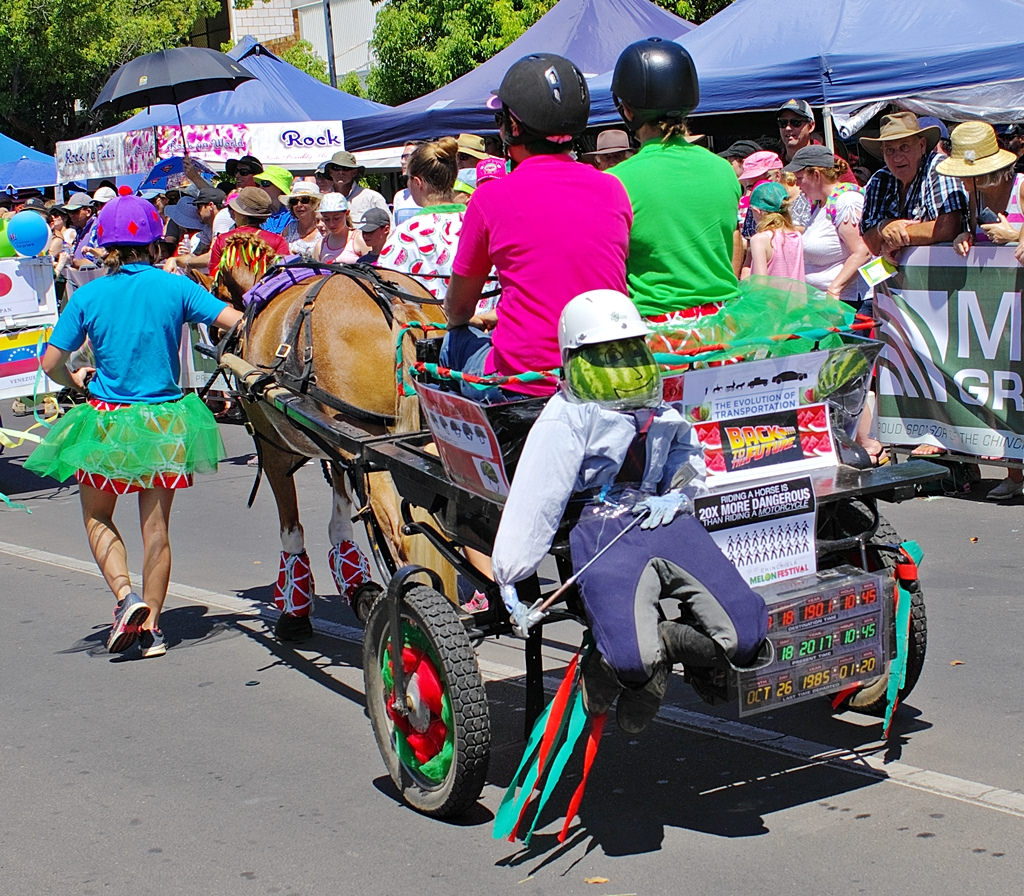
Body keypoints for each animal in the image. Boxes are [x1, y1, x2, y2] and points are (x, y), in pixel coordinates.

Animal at [216, 231, 448, 638]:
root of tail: (399, 307)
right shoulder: (339, 451)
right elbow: (340, 522)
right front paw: (357, 588)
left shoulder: (274, 449)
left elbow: (291, 528)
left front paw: (294, 612)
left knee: (403, 535)